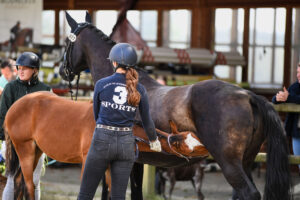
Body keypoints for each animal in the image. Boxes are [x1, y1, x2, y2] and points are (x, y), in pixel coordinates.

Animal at [57, 11, 292, 200]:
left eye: (67, 43)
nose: (61, 70)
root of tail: (247, 95)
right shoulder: (137, 160)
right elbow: (136, 192)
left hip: (230, 164)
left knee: (248, 193)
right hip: (246, 162)